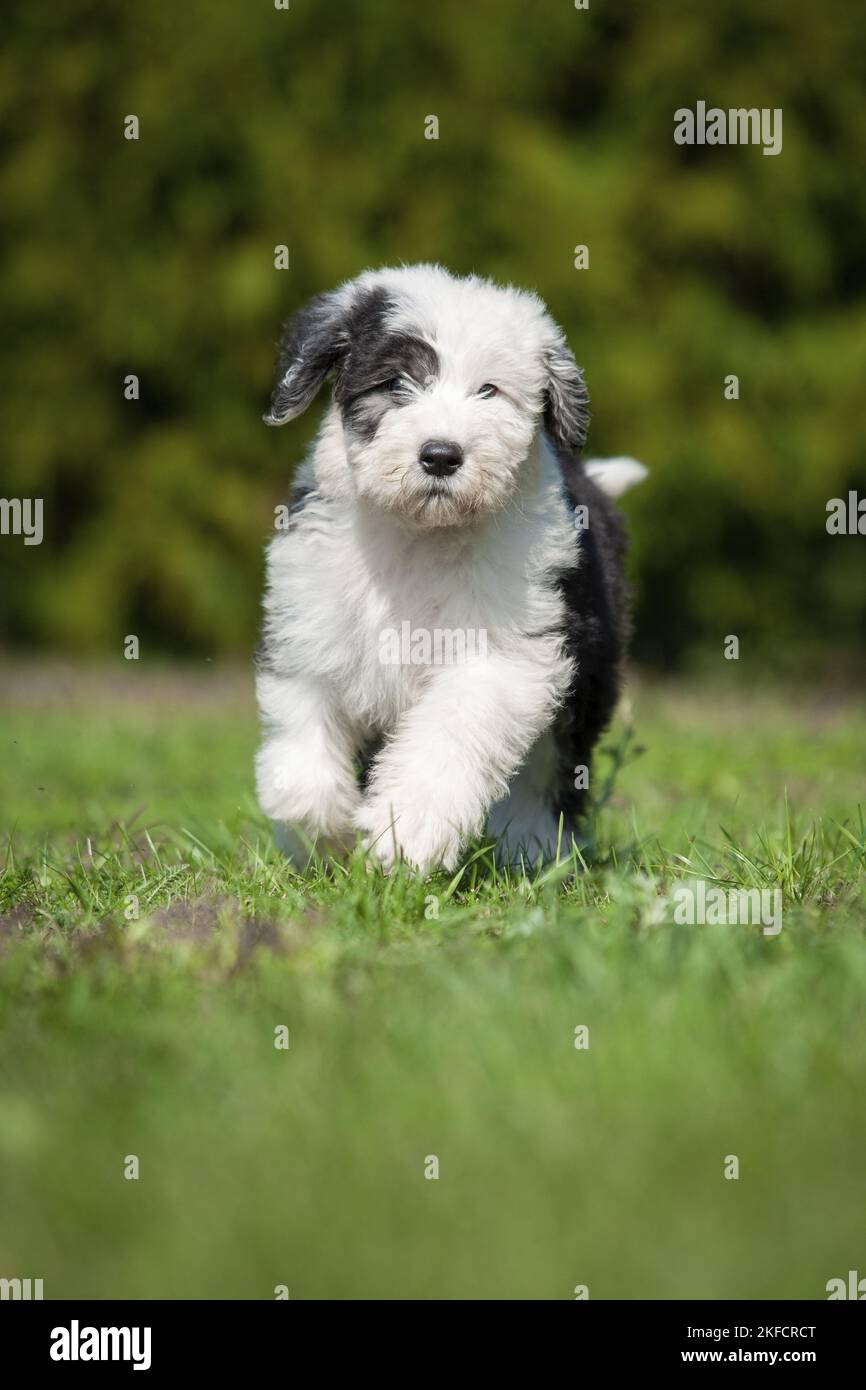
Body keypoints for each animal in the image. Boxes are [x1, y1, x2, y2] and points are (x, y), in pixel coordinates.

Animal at [254, 262, 647, 867]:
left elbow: (451, 733)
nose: (441, 455)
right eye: (396, 383)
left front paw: (406, 830)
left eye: (489, 389)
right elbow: (300, 765)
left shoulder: (506, 652)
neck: (420, 539)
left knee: (549, 771)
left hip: (588, 673)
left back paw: (533, 849)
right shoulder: (309, 635)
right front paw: (326, 841)